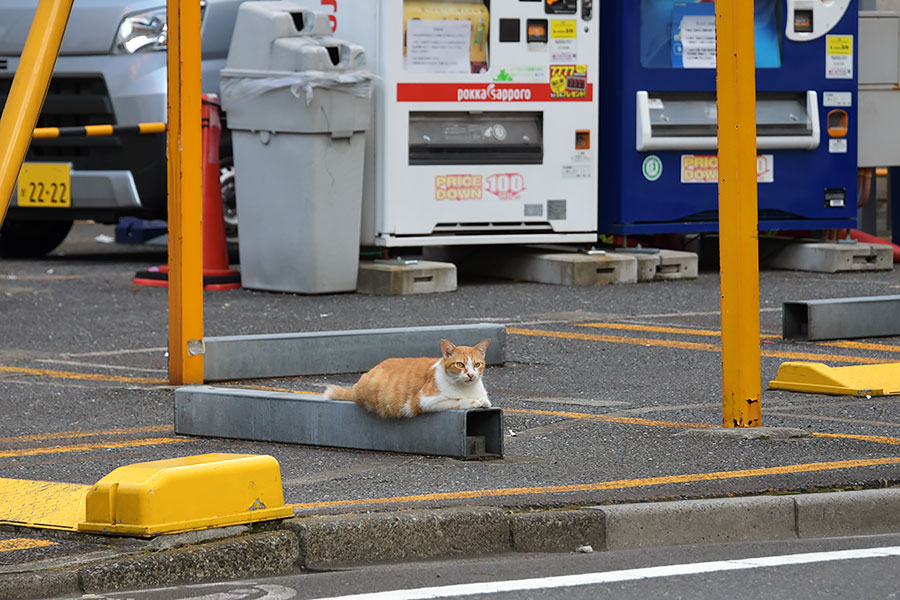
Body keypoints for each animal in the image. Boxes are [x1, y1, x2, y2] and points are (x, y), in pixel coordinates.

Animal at [324, 340, 492, 420]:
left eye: (477, 364)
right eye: (460, 365)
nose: (471, 375)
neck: (467, 389)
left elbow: (486, 401)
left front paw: (481, 401)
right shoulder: (426, 401)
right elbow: (457, 400)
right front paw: (473, 402)